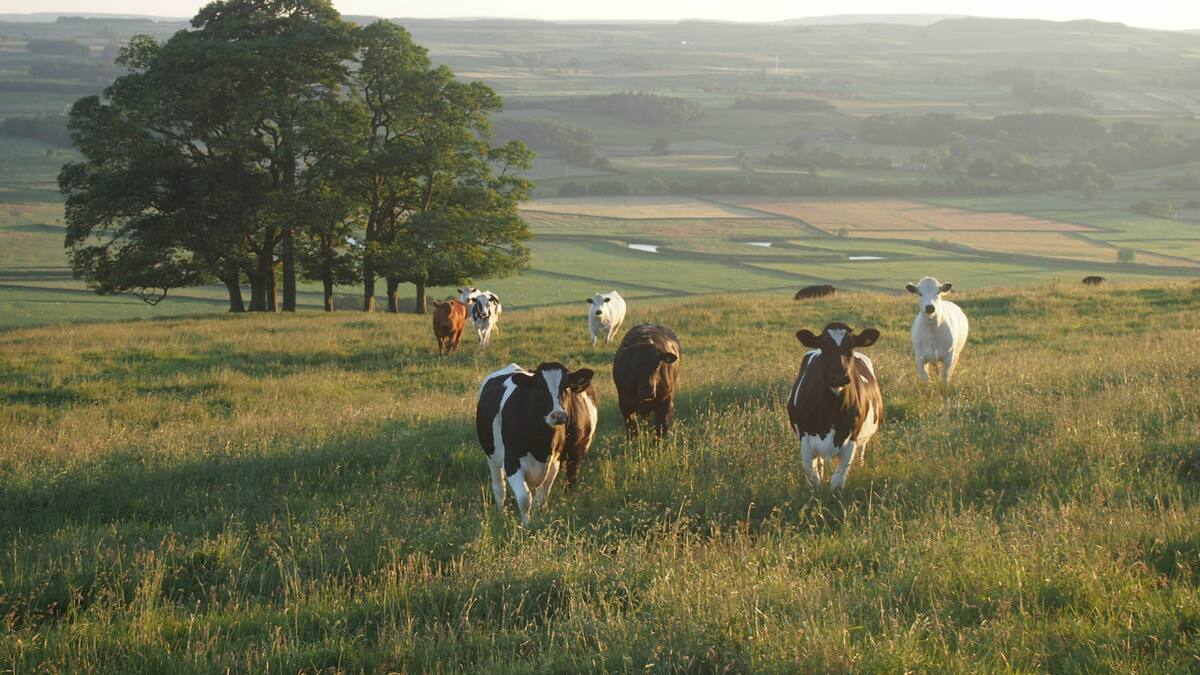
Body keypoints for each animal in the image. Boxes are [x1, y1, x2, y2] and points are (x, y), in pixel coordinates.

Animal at [476, 362, 597, 526]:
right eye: (540, 387)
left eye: (566, 386)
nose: (558, 415)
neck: (540, 443)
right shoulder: (511, 462)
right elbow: (524, 498)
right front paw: (525, 525)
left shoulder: (554, 463)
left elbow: (541, 499)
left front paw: (539, 522)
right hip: (492, 458)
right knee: (499, 489)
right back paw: (501, 515)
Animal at [787, 322, 883, 490]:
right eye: (824, 347)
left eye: (851, 346)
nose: (839, 377)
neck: (831, 410)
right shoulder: (805, 440)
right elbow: (814, 479)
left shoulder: (851, 439)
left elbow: (837, 481)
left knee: (861, 452)